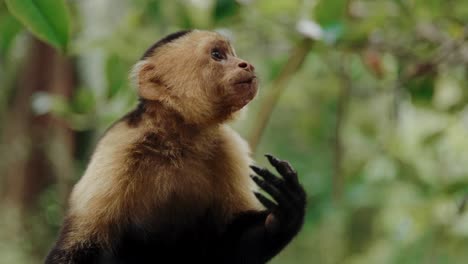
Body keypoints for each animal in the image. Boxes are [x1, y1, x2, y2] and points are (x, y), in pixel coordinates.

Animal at [44, 29, 308, 262]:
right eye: (217, 55)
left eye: (232, 54)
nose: (247, 65)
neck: (177, 140)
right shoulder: (117, 145)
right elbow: (81, 244)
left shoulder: (228, 146)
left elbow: (229, 247)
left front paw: (286, 213)